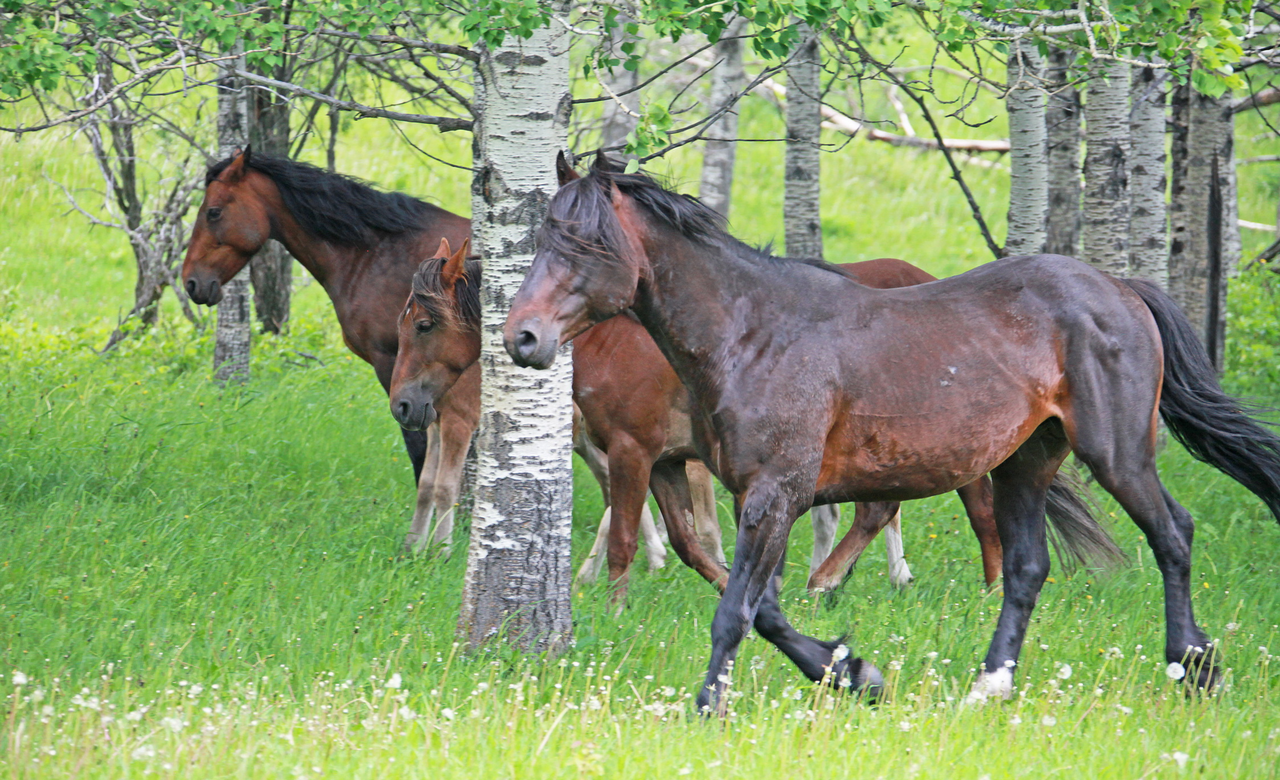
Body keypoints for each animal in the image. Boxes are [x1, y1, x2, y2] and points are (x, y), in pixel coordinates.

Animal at [390, 236, 1007, 605]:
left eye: (423, 324)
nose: (403, 405)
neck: (614, 340)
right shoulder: (664, 459)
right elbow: (688, 543)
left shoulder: (633, 450)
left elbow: (625, 536)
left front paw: (613, 609)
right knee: (913, 509)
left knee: (948, 506)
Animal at [505, 153, 1280, 712]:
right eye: (542, 239)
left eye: (586, 241)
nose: (524, 338)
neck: (752, 333)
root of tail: (1120, 290)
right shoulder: (762, 498)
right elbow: (765, 609)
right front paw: (853, 672)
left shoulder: (773, 495)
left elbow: (736, 611)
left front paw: (709, 707)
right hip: (1025, 464)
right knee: (1026, 568)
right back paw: (988, 687)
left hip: (1115, 453)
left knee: (1172, 534)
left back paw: (1194, 667)